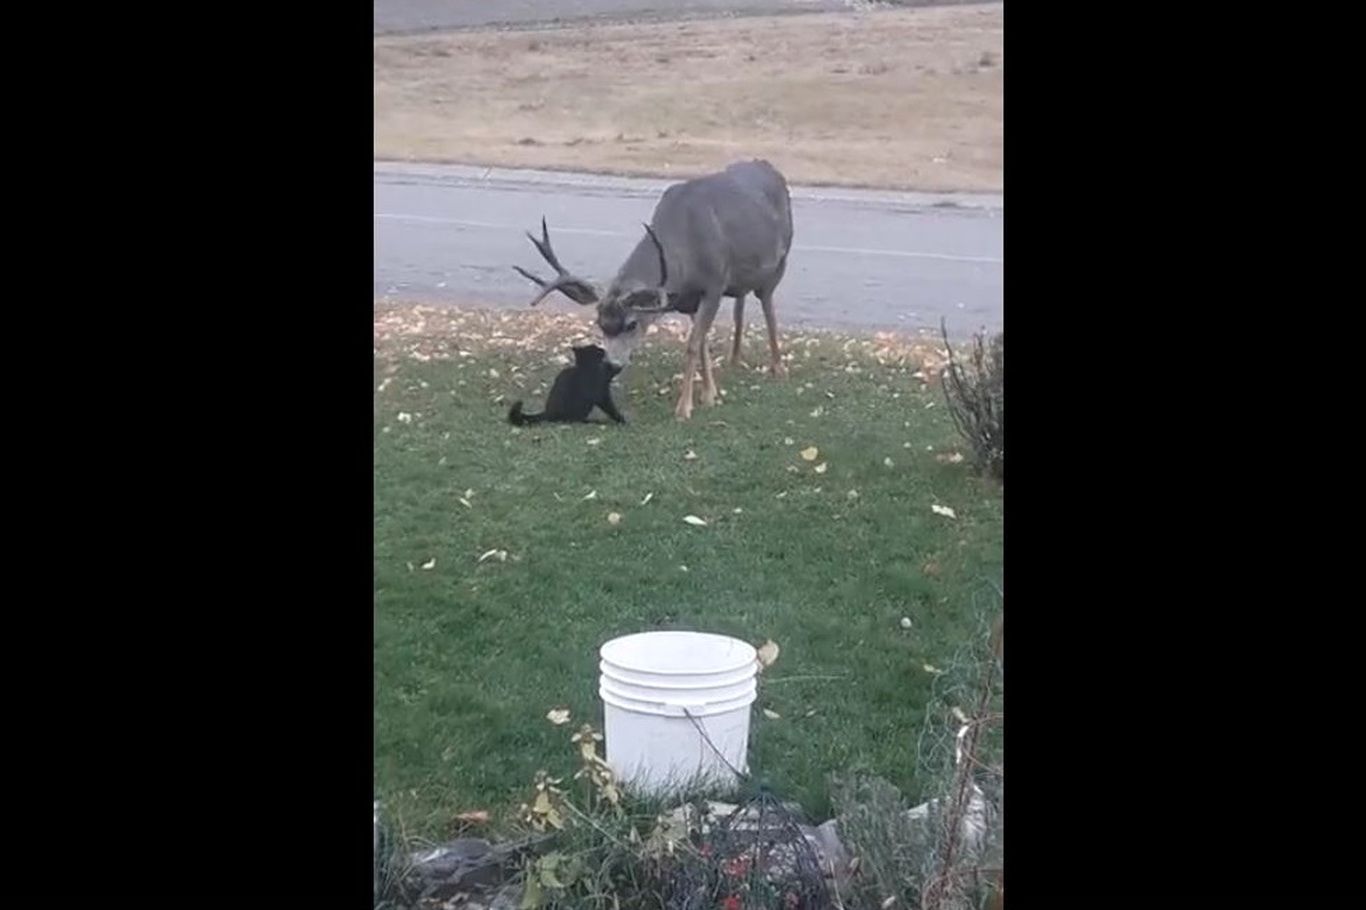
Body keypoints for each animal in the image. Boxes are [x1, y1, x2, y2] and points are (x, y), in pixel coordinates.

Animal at [510, 157, 792, 420]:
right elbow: (702, 343)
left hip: (780, 261)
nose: (611, 365)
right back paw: (735, 358)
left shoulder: (714, 284)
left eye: (632, 323)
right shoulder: (688, 298)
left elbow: (692, 345)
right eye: (600, 324)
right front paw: (710, 394)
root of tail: (769, 167)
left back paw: (778, 367)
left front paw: (684, 408)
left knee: (768, 307)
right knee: (741, 301)